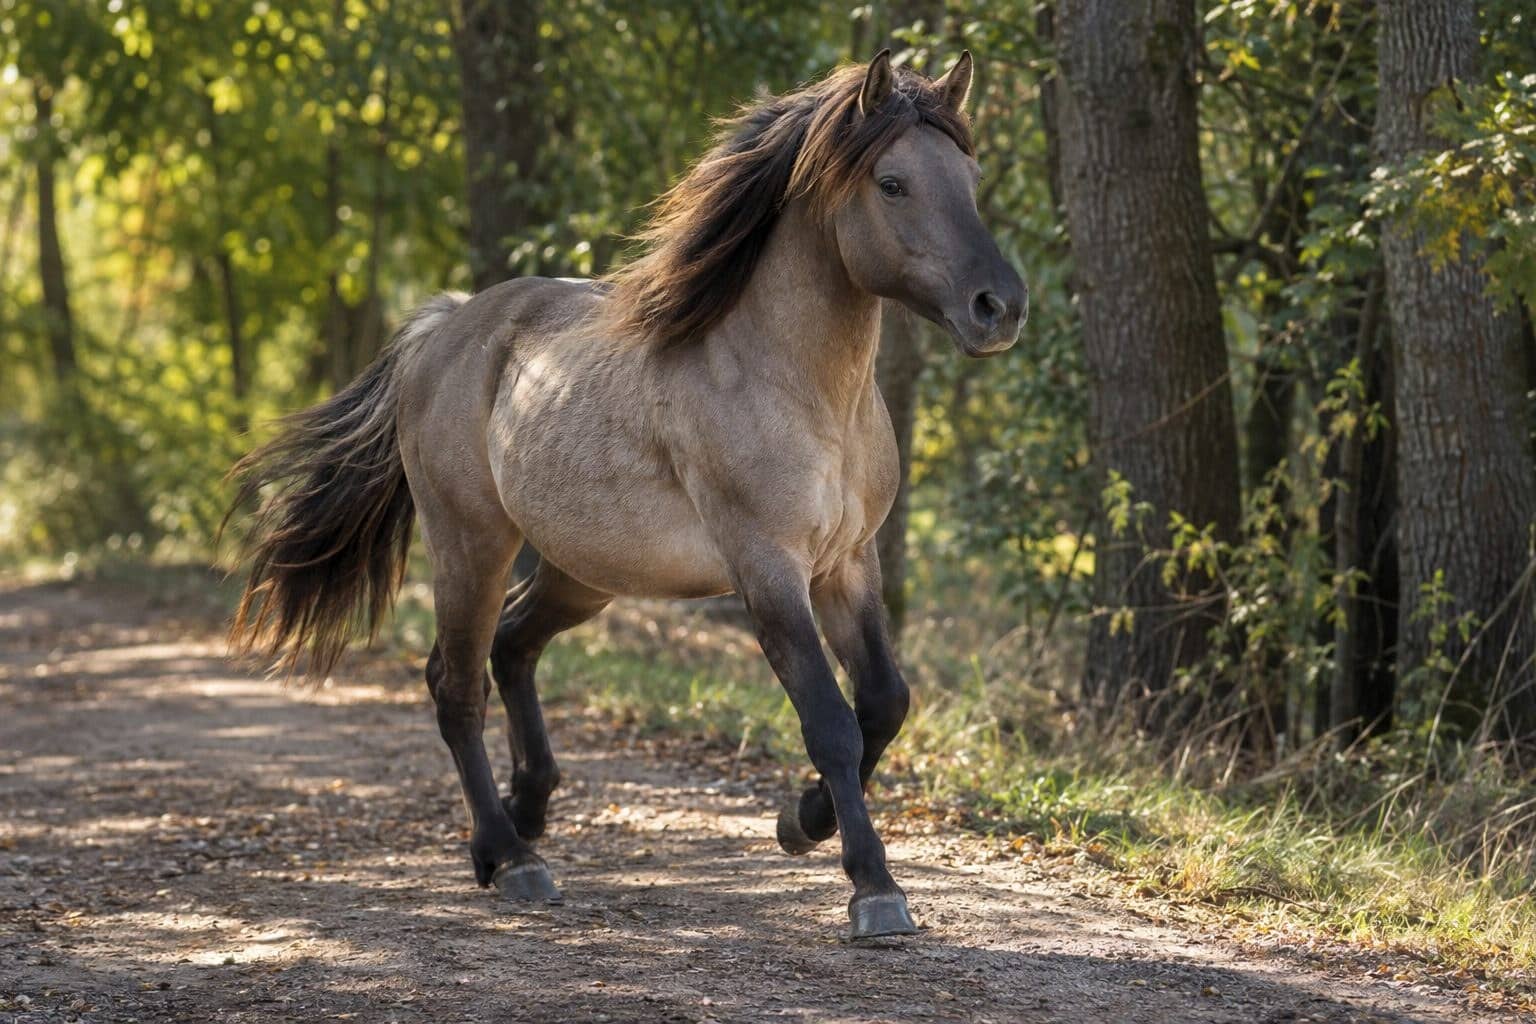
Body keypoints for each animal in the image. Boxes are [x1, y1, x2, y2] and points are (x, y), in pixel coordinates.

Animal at [226, 49, 1026, 939]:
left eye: (969, 175)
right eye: (892, 183)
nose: (999, 307)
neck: (799, 385)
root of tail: (445, 328)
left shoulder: (848, 566)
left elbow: (884, 702)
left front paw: (801, 820)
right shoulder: (769, 570)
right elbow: (831, 722)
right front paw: (873, 888)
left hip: (584, 573)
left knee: (512, 647)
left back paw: (525, 814)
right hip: (472, 544)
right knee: (455, 684)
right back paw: (512, 857)